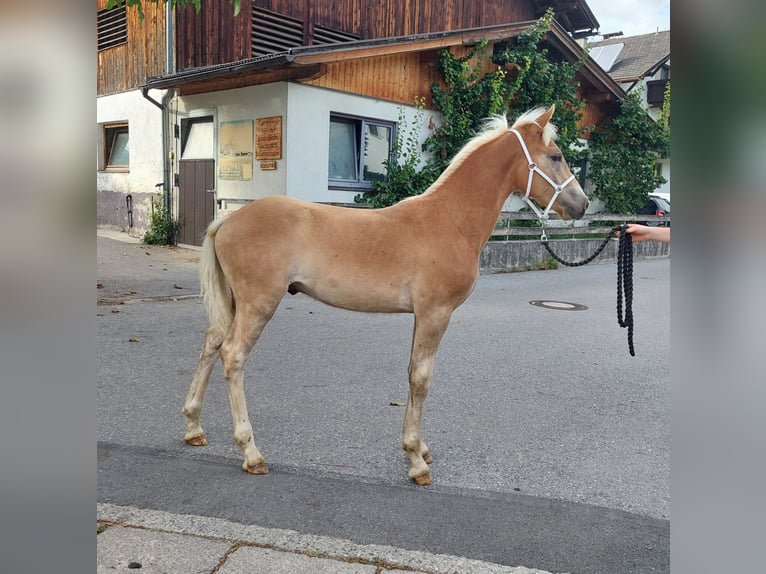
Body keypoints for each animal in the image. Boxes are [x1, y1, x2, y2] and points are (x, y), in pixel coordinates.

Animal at [183, 104, 592, 486]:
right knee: (233, 355)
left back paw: (193, 427)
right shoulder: (435, 313)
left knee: (211, 343)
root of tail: (228, 220)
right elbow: (422, 378)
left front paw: (420, 449)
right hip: (259, 304)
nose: (582, 204)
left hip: (235, 303)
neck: (450, 220)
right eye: (556, 156)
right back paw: (251, 452)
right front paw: (416, 461)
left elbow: (413, 373)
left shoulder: (421, 315)